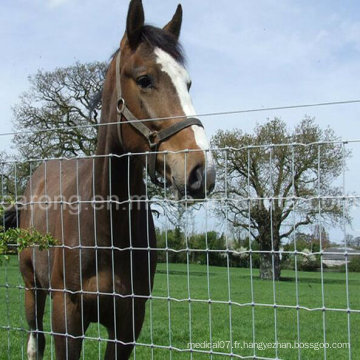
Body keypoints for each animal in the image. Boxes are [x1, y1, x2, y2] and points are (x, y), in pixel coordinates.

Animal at [5, 0, 215, 358]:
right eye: (144, 79)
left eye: (187, 83)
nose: (202, 170)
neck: (107, 228)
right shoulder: (67, 319)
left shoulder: (128, 325)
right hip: (33, 289)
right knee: (35, 341)